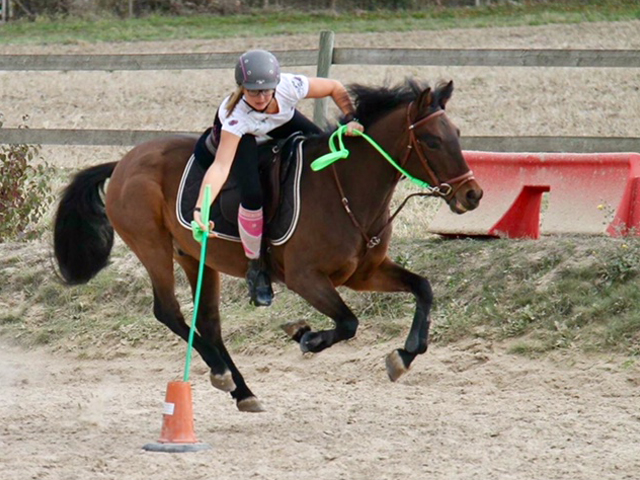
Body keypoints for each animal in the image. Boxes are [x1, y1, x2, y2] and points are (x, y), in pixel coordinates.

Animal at [55, 79, 482, 412]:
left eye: (458, 135)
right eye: (431, 141)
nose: (473, 195)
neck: (344, 186)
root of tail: (123, 162)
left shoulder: (364, 274)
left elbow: (422, 288)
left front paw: (405, 355)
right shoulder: (305, 278)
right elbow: (348, 322)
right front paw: (307, 337)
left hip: (195, 256)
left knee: (207, 321)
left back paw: (241, 389)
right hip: (152, 247)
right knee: (168, 311)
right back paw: (223, 374)